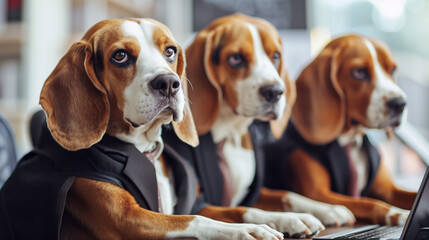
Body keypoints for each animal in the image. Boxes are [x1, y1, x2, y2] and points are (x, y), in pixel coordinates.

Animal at [1, 18, 288, 240]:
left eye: (170, 51)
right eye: (120, 56)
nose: (170, 83)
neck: (143, 148)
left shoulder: (194, 203)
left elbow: (239, 210)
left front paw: (289, 218)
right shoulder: (127, 220)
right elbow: (195, 220)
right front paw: (246, 231)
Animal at [163, 13, 354, 236]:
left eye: (276, 56)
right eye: (236, 58)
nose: (275, 92)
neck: (230, 133)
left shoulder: (255, 193)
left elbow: (286, 194)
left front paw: (326, 209)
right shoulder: (197, 204)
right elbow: (242, 210)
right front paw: (291, 219)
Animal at [264, 34, 414, 226]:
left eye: (393, 70)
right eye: (359, 72)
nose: (400, 104)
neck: (349, 141)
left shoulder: (389, 190)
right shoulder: (318, 193)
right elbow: (368, 202)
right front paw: (396, 212)